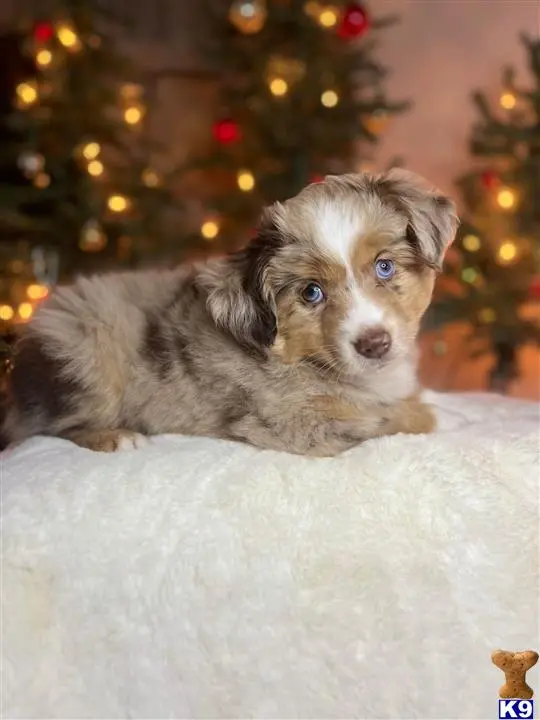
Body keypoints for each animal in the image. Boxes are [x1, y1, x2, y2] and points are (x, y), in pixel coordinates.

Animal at [0, 170, 458, 456]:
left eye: (385, 267)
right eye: (311, 293)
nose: (374, 344)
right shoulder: (290, 421)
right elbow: (388, 414)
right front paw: (438, 416)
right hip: (87, 347)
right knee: (50, 427)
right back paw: (118, 438)